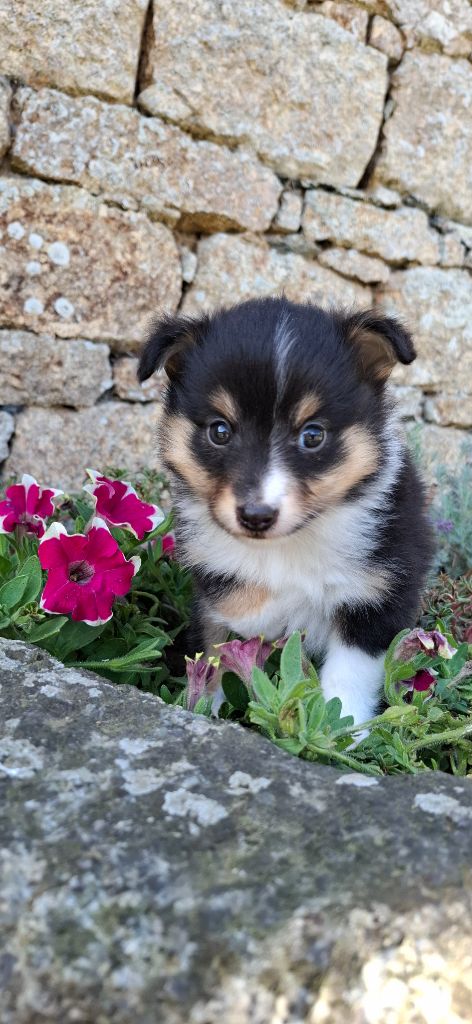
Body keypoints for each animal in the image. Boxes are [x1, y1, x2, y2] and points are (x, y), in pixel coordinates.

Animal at [138, 297, 433, 725]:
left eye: (313, 435)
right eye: (220, 431)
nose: (256, 516)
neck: (287, 545)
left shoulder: (378, 597)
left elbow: (347, 680)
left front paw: (341, 730)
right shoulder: (214, 591)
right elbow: (217, 651)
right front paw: (211, 708)